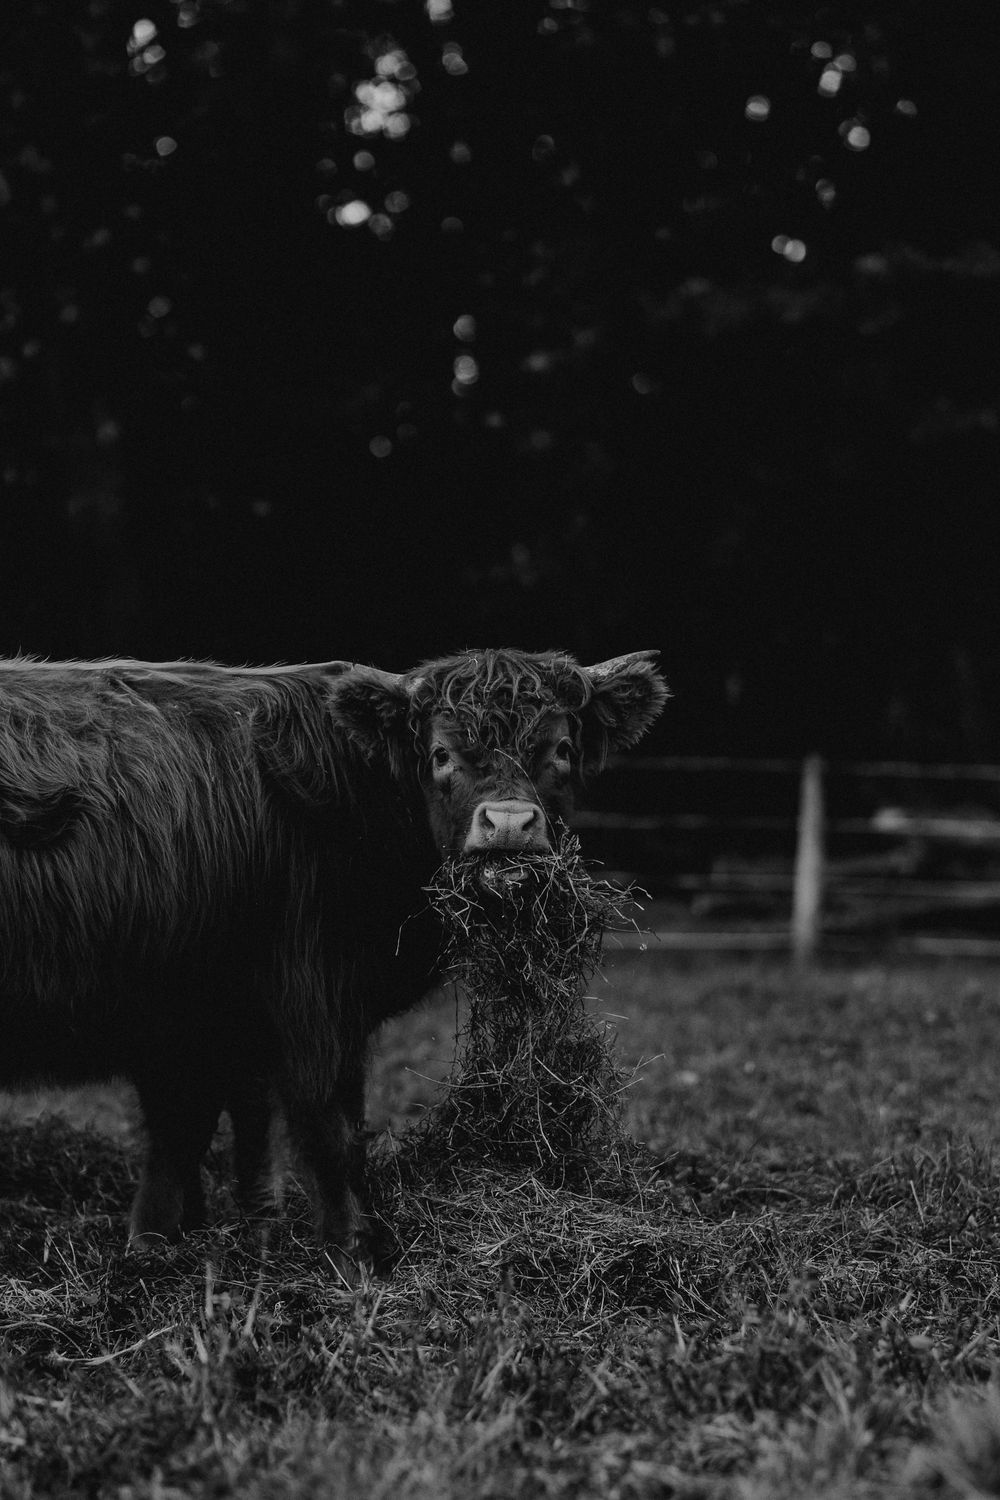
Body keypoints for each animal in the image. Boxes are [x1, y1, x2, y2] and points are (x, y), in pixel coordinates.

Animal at [0, 648, 667, 1275]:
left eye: (560, 748)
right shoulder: (306, 999)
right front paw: (353, 1254)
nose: (507, 824)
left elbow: (205, 1128)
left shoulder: (204, 1017)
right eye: (441, 754)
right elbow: (327, 1128)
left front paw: (198, 1237)